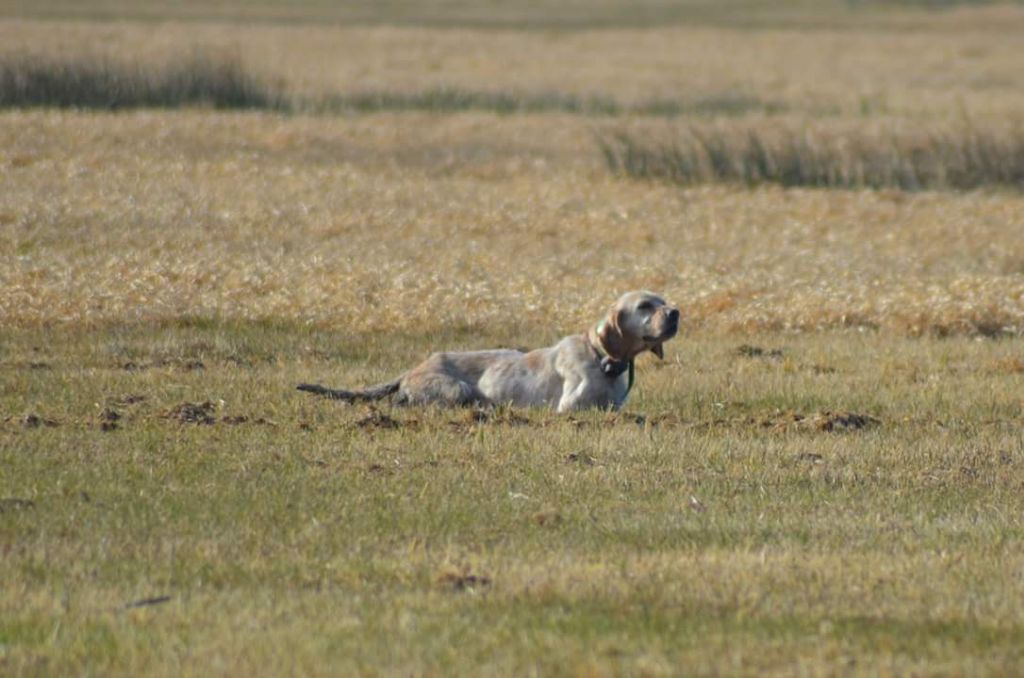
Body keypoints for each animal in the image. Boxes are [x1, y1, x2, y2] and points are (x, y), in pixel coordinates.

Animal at [296, 288, 679, 411]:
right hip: (457, 389)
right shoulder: (570, 407)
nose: (676, 312)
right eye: (645, 305)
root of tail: (412, 368)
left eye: (663, 301)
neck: (603, 359)